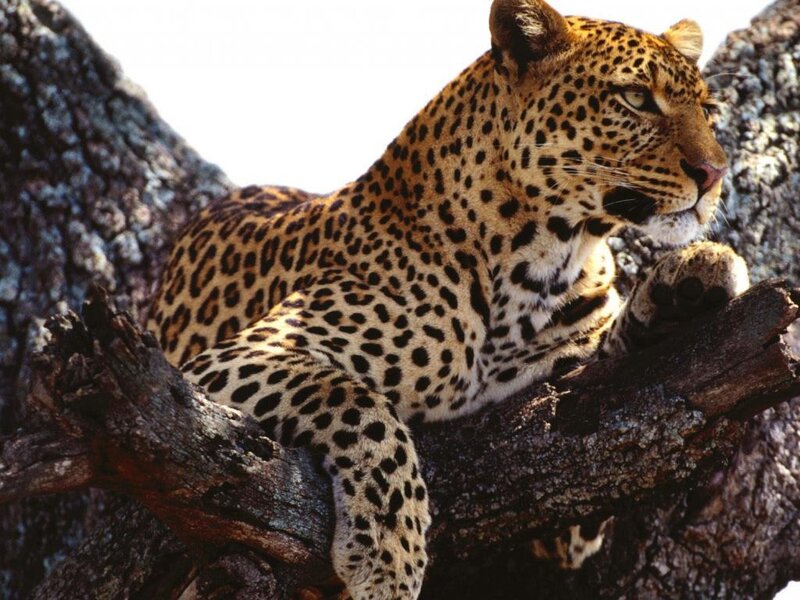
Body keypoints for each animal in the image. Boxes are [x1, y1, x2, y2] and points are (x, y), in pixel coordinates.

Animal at [148, 1, 750, 597]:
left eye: (708, 111)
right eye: (636, 98)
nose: (714, 173)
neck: (543, 259)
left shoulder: (564, 495)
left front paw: (685, 288)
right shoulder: (233, 361)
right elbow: (361, 405)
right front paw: (390, 552)